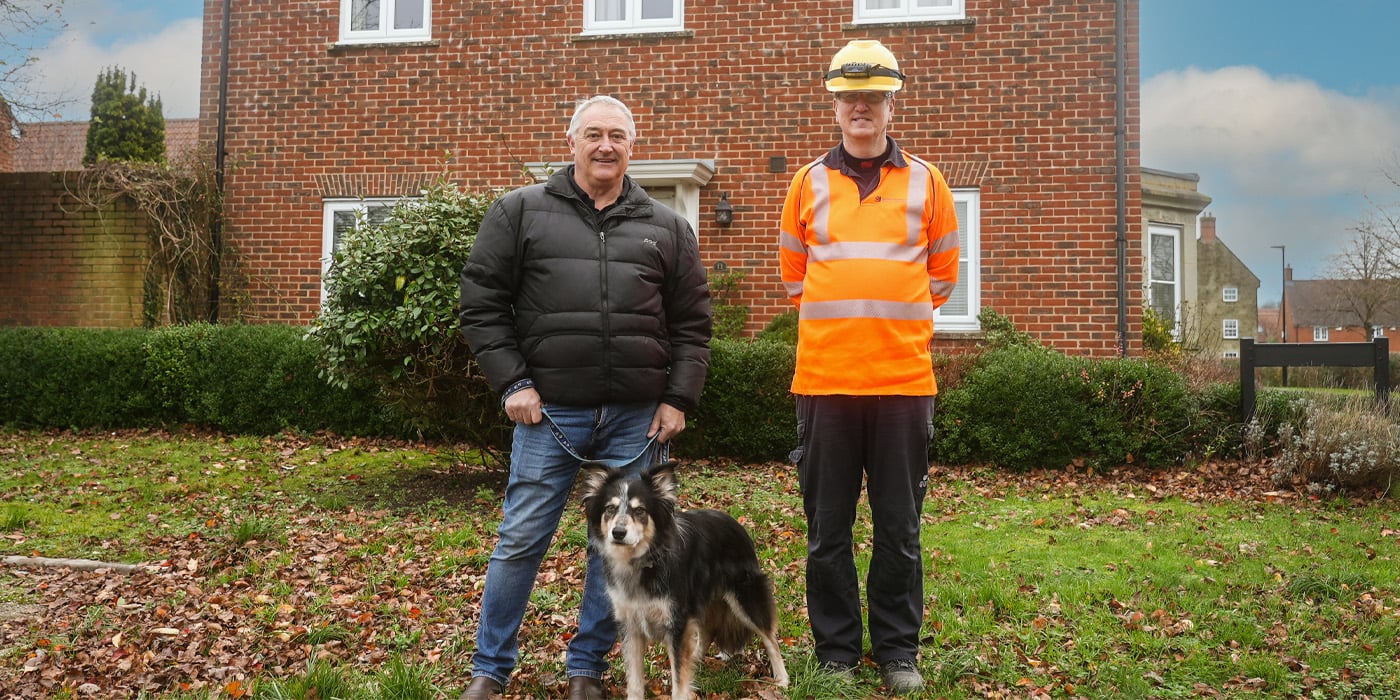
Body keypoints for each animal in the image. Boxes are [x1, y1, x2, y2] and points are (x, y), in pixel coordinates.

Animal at [576, 462, 789, 697]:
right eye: (610, 509)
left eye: (640, 511)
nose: (618, 532)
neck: (645, 560)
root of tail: (736, 523)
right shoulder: (631, 625)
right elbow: (635, 681)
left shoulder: (677, 622)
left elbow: (679, 679)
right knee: (707, 631)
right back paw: (695, 660)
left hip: (744, 595)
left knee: (770, 637)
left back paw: (782, 679)